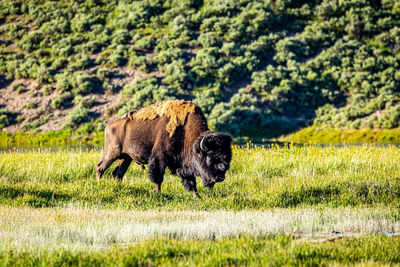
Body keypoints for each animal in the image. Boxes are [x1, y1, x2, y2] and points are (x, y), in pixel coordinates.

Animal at [97, 99, 233, 198]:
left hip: (126, 158)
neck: (185, 132)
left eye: (227, 158)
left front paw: (197, 196)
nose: (220, 177)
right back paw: (98, 183)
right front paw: (158, 193)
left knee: (118, 173)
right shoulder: (159, 158)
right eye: (210, 157)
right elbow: (158, 177)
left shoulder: (184, 165)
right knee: (101, 167)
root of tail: (109, 124)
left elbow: (190, 181)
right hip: (112, 153)